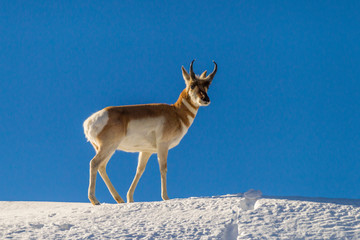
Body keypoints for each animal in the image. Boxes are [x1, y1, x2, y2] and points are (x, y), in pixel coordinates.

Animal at [83, 59, 217, 204]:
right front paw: (166, 197)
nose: (206, 99)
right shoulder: (163, 146)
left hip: (108, 149)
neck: (176, 112)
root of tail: (89, 122)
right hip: (108, 147)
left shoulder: (146, 151)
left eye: (207, 86)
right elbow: (163, 168)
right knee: (94, 163)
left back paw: (120, 200)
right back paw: (95, 200)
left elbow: (139, 170)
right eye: (192, 85)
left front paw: (130, 198)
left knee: (102, 167)